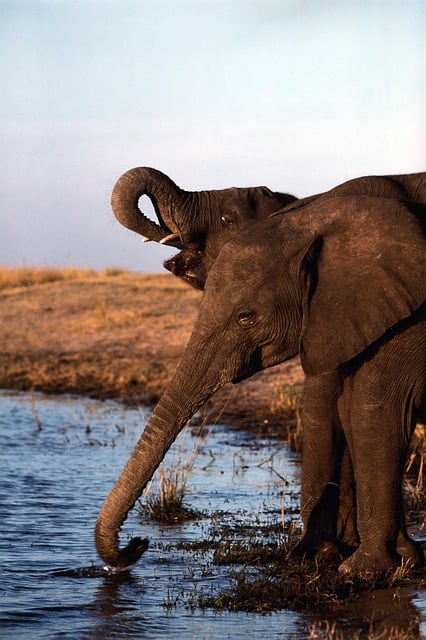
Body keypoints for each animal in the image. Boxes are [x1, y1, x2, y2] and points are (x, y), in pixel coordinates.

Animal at [95, 194, 426, 578]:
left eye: (246, 318)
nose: (138, 543)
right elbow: (343, 410)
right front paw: (393, 559)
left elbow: (372, 409)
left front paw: (362, 571)